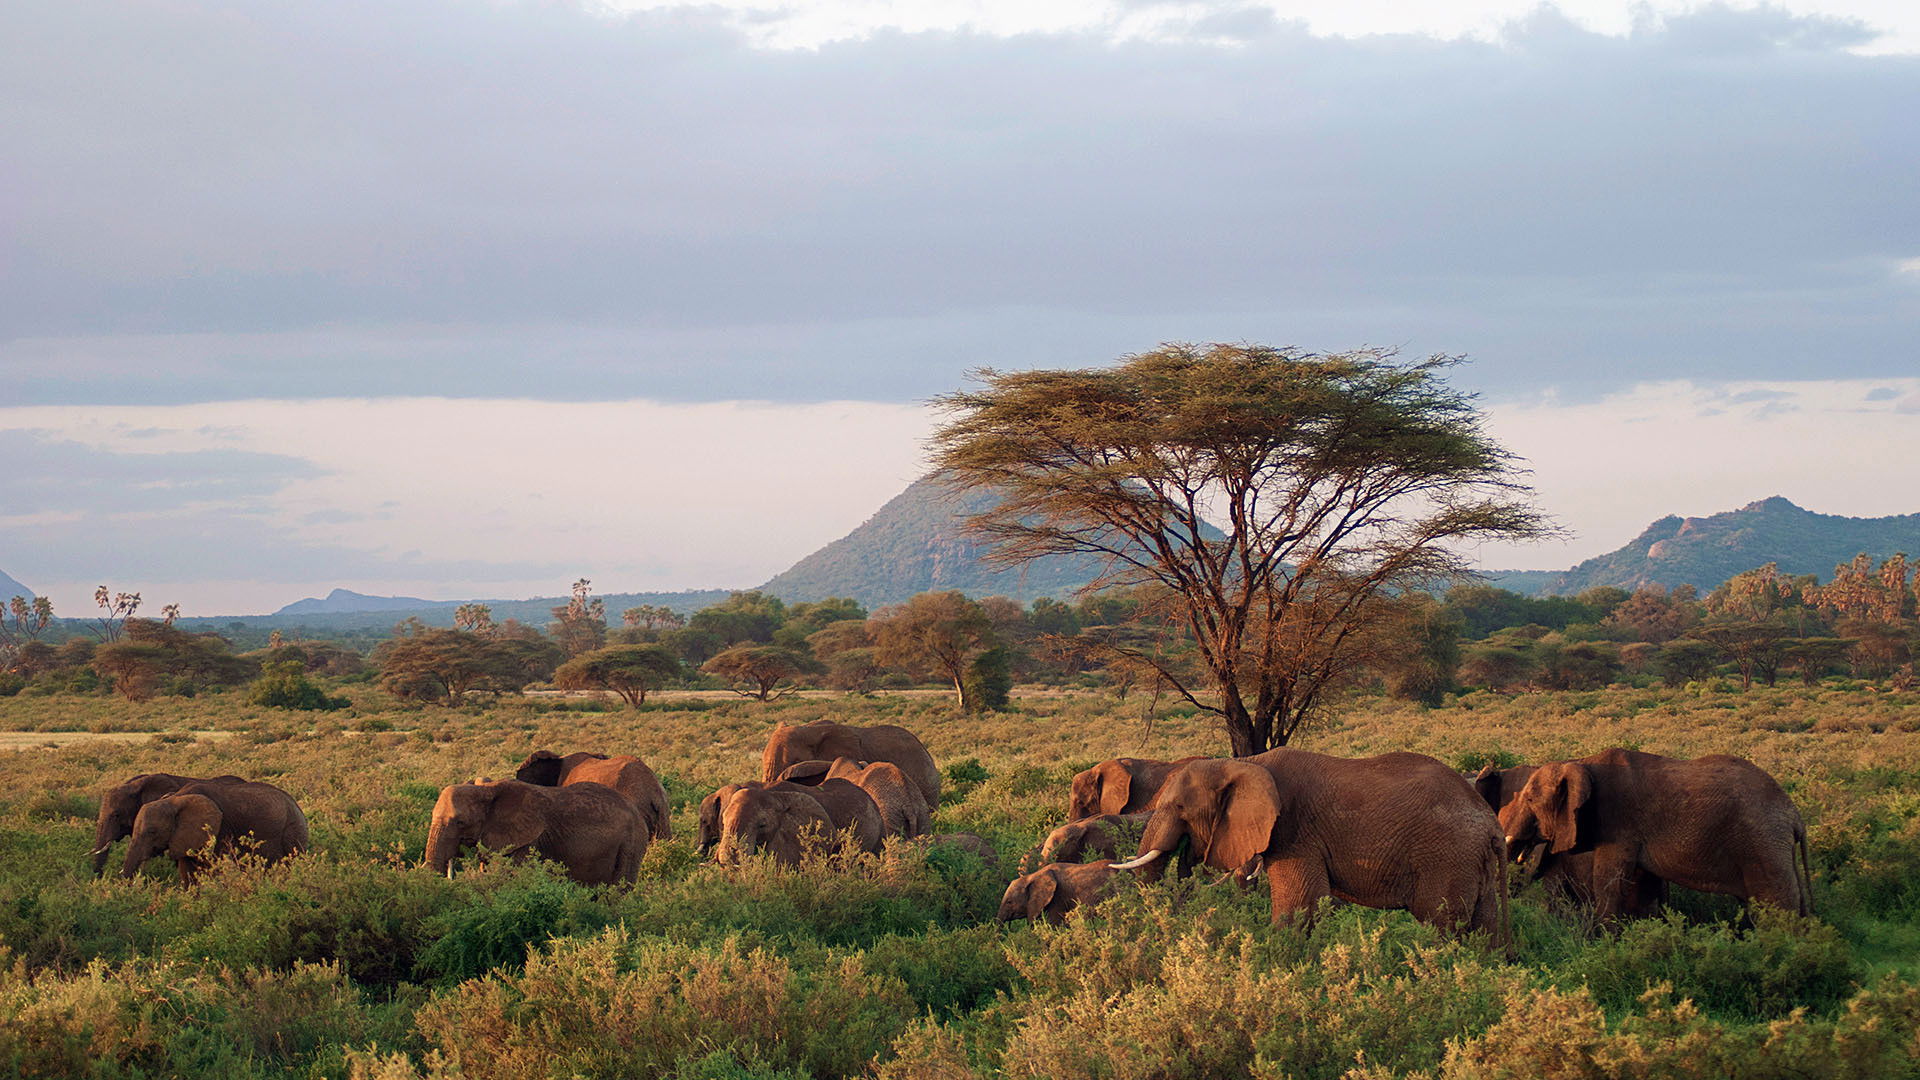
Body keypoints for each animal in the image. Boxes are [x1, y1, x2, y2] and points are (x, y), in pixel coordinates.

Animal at [1115, 750, 1509, 943]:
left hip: (1446, 859)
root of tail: (1491, 822)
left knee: (1440, 925)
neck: (1244, 764)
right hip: (1473, 863)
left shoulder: (1296, 833)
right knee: (1483, 928)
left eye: (1180, 808)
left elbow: (1299, 908)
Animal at [1497, 748, 1812, 921]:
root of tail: (1795, 816)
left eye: (1529, 800)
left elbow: (1609, 883)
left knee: (1776, 905)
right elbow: (1643, 886)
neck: (1579, 762)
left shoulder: (1619, 823)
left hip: (1763, 844)